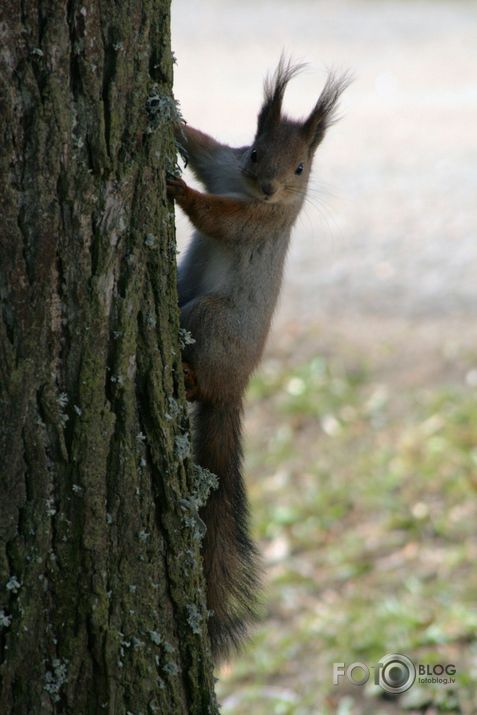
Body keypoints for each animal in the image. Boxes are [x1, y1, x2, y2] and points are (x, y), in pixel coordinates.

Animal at [167, 56, 350, 660]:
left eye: (300, 167)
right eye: (253, 153)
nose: (269, 187)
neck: (247, 191)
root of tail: (237, 387)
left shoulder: (260, 223)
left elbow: (217, 217)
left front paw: (176, 187)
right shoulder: (222, 163)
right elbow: (201, 147)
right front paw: (168, 114)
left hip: (211, 319)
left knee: (202, 380)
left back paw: (187, 376)